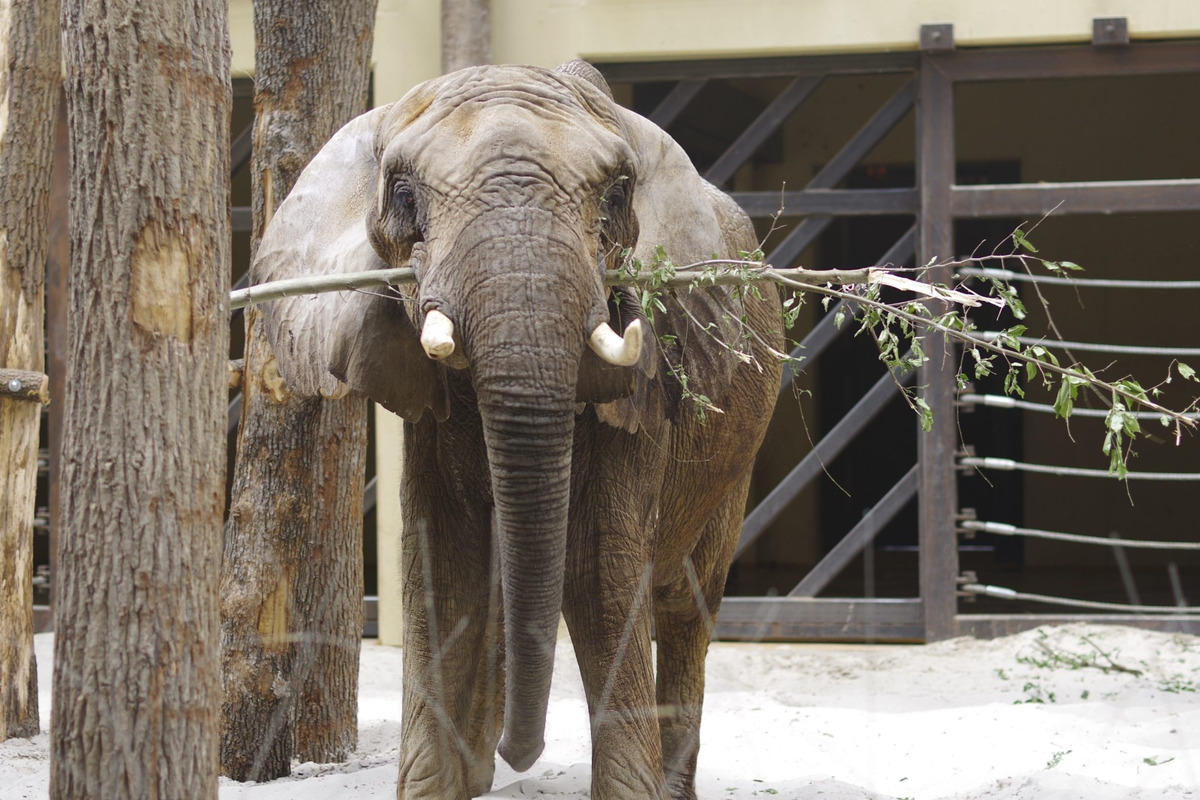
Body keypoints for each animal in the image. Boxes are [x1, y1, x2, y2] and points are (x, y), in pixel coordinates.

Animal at [253, 59, 782, 796]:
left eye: (617, 195)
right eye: (404, 195)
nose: (521, 752)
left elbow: (598, 568)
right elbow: (441, 561)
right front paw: (438, 786)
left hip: (737, 456)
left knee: (685, 602)